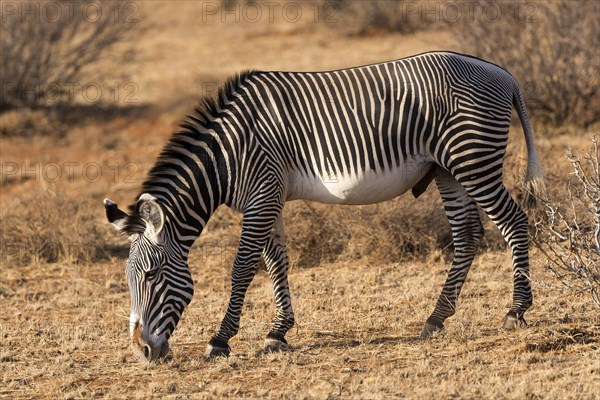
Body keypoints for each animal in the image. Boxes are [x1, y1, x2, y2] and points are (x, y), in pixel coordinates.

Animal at [102, 50, 544, 362]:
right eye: (127, 278)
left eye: (153, 275)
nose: (141, 352)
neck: (226, 157)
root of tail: (500, 72)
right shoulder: (269, 197)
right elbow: (277, 263)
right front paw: (278, 332)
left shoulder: (261, 195)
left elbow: (242, 268)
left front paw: (221, 340)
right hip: (448, 170)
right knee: (467, 236)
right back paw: (436, 317)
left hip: (473, 161)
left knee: (515, 222)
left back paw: (516, 311)